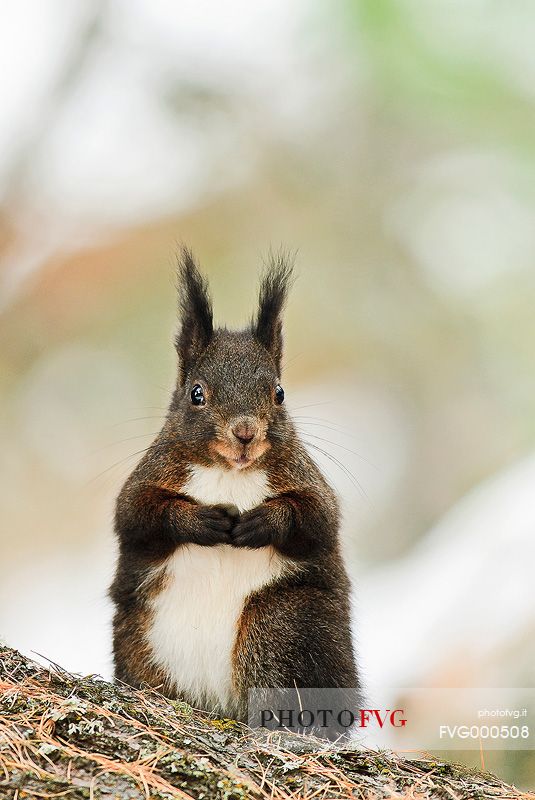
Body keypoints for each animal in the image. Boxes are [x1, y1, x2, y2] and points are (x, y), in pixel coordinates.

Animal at [110, 248, 360, 720]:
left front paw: (262, 522)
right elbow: (136, 514)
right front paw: (199, 521)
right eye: (196, 393)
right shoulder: (146, 478)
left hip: (281, 623)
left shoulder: (310, 481)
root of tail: (218, 703)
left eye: (279, 393)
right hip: (142, 647)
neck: (231, 472)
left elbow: (319, 516)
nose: (245, 433)